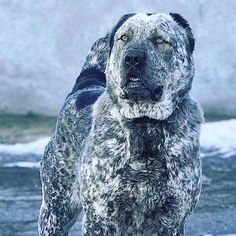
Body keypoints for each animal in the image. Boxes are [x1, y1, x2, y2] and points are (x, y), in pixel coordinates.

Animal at [38, 12, 203, 236]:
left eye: (160, 39)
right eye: (124, 38)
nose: (132, 58)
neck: (144, 124)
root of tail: (83, 87)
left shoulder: (173, 218)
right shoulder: (99, 217)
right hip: (55, 210)